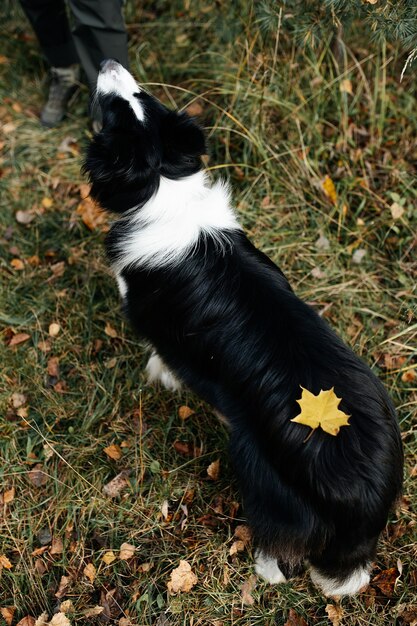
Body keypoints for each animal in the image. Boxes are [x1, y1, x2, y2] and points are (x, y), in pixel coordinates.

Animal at [83, 62, 404, 596]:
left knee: (282, 543)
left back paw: (263, 569)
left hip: (265, 476)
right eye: (140, 96)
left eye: (116, 112)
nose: (109, 64)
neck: (164, 187)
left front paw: (159, 377)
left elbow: (162, 357)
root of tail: (368, 494)